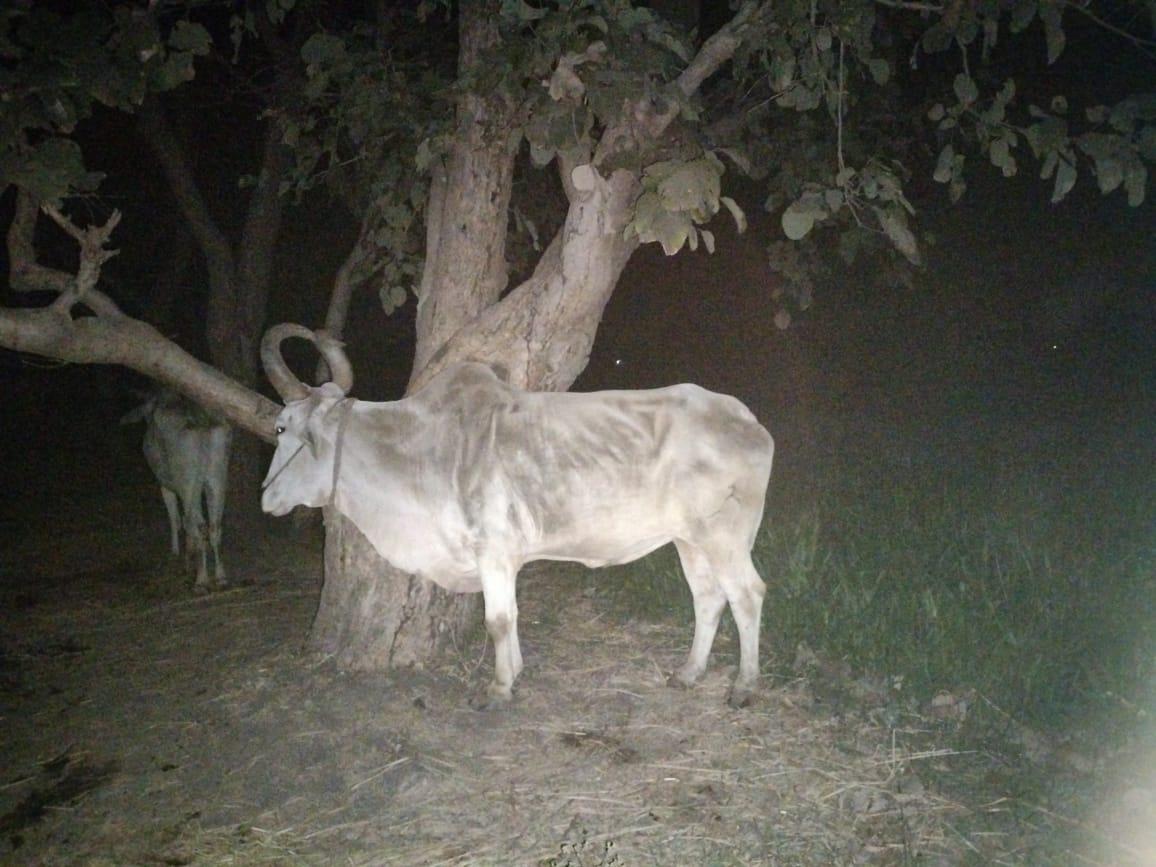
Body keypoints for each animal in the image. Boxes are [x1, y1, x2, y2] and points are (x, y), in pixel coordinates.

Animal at [123, 390, 231, 596]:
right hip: (217, 474)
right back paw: (220, 577)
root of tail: (200, 420)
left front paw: (176, 553)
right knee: (214, 524)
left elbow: (174, 518)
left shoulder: (165, 483)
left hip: (188, 480)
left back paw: (201, 580)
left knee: (196, 524)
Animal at [257, 323, 772, 707]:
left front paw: (499, 687)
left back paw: (745, 686)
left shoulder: (494, 551)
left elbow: (498, 620)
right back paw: (689, 672)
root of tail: (750, 423)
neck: (424, 447)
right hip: (689, 540)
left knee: (747, 594)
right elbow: (512, 616)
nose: (266, 497)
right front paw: (515, 672)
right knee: (708, 598)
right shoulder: (501, 559)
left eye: (280, 427)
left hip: (724, 538)